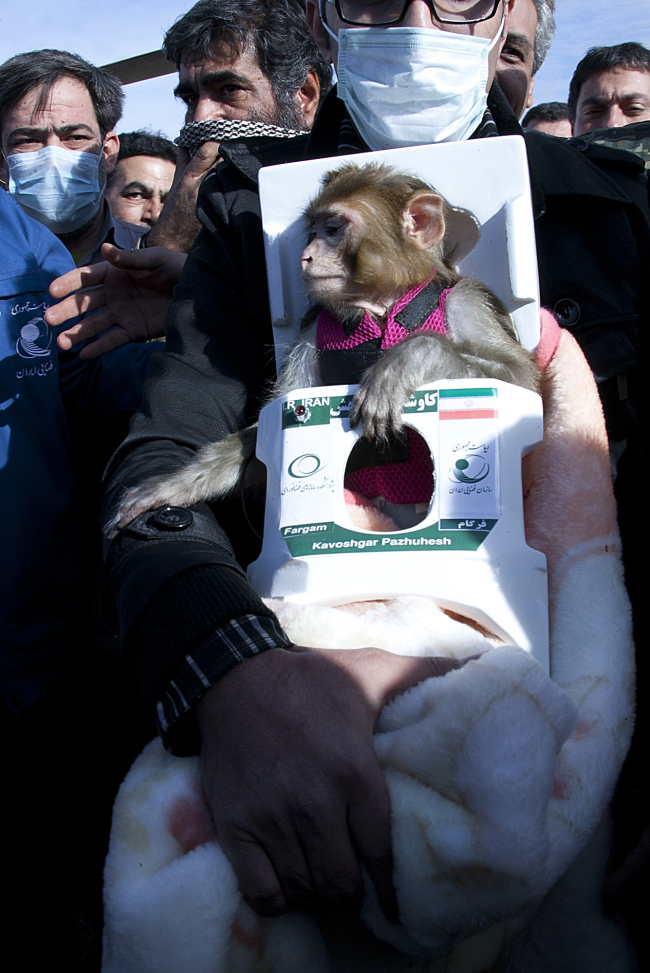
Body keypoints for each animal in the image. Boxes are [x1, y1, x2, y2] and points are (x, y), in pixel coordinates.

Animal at [106, 162, 540, 536]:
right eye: (312, 230)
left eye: (332, 228)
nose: (306, 255)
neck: (379, 307)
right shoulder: (311, 331)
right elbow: (272, 422)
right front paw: (176, 485)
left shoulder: (466, 302)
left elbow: (522, 382)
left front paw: (404, 361)